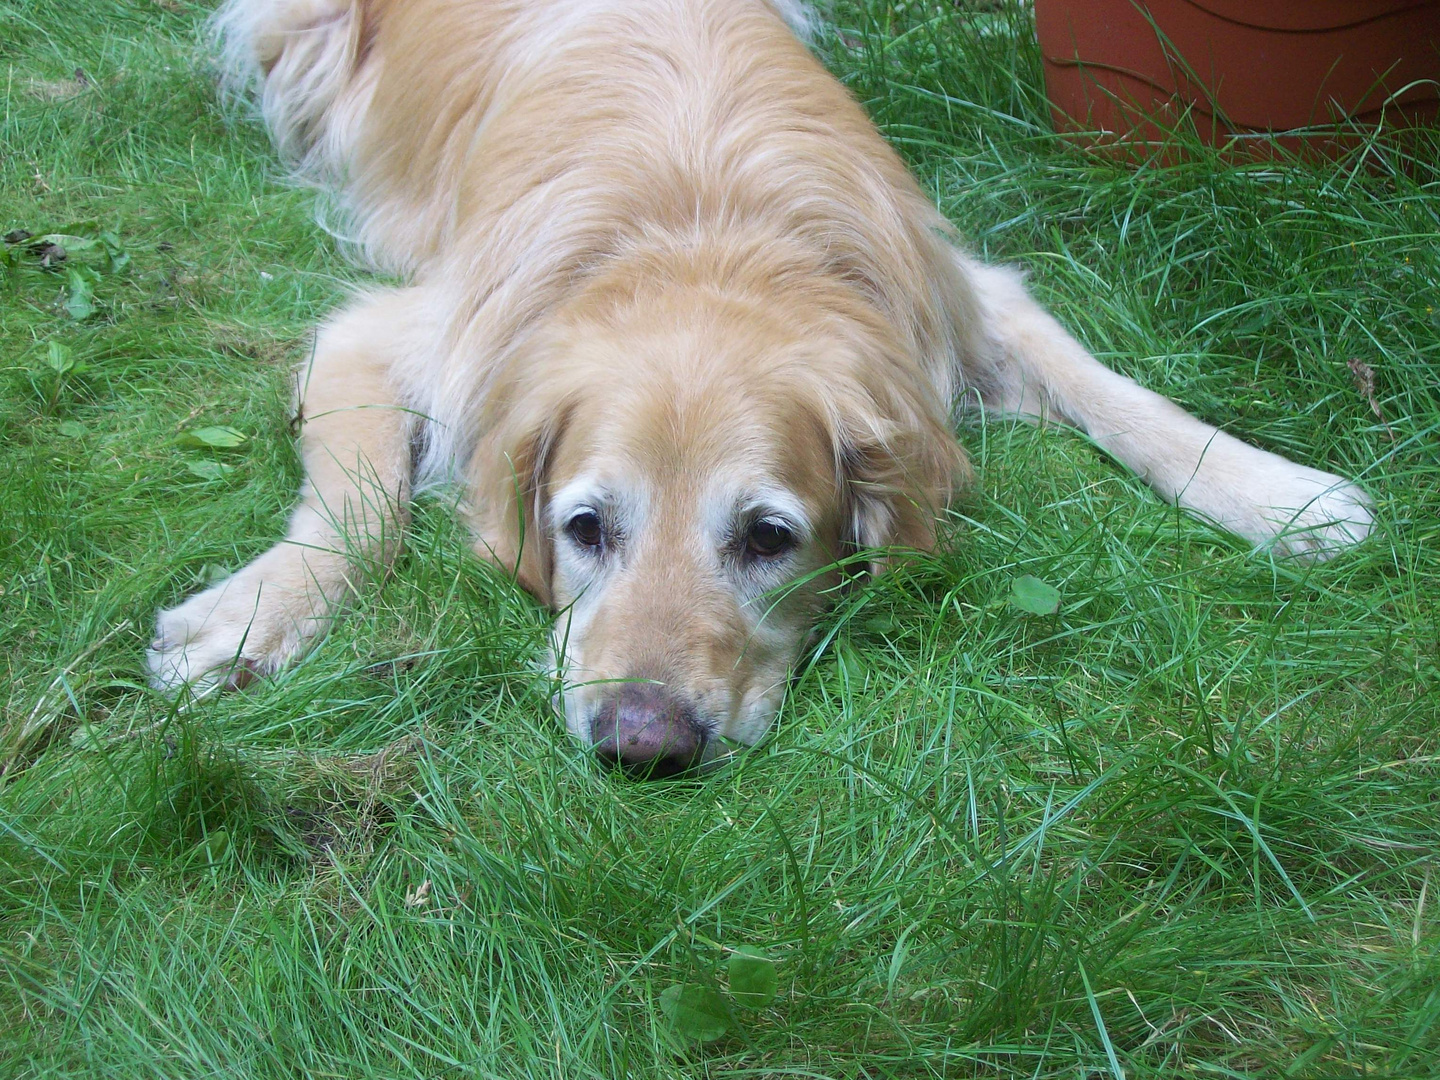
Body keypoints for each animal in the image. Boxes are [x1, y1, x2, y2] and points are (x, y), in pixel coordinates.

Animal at [146, 0, 1370, 777]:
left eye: (769, 538)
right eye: (585, 528)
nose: (642, 744)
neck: (708, 233)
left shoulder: (961, 300)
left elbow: (1124, 396)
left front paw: (1281, 494)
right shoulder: (393, 336)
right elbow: (358, 511)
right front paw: (251, 616)